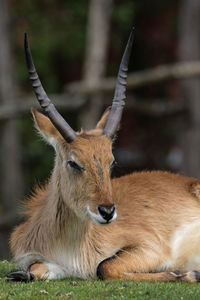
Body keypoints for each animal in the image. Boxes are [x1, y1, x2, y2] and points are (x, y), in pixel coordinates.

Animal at [7, 28, 200, 284]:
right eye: (74, 162)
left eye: (112, 161)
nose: (107, 212)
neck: (71, 250)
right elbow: (33, 269)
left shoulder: (151, 248)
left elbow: (104, 267)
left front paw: (187, 274)